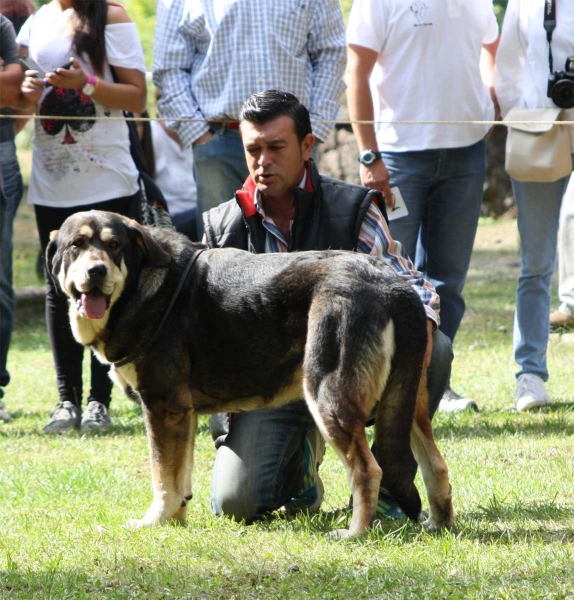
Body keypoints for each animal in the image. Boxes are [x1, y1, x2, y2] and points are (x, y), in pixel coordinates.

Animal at [47, 210, 454, 536]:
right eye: (76, 245)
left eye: (114, 246)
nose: (96, 271)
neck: (140, 284)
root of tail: (392, 283)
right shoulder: (182, 415)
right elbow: (179, 478)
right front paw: (174, 522)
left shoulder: (162, 406)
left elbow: (162, 477)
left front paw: (154, 522)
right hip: (404, 406)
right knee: (436, 467)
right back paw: (439, 524)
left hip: (329, 396)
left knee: (369, 471)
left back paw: (355, 533)